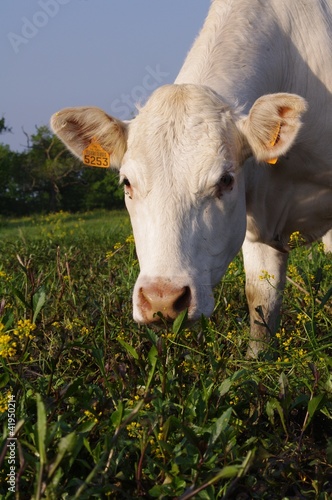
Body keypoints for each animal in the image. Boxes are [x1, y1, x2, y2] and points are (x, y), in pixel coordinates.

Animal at [51, 0, 332, 360]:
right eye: (127, 183)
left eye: (225, 179)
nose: (162, 299)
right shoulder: (254, 225)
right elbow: (260, 300)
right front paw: (256, 362)